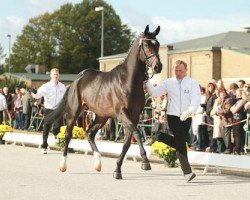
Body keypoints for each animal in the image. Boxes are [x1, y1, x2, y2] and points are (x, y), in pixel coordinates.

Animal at [46, 25, 162, 180]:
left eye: (158, 44)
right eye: (146, 45)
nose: (158, 67)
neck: (128, 81)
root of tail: (78, 78)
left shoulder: (135, 115)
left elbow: (127, 142)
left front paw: (117, 170)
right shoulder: (122, 113)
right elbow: (136, 134)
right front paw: (145, 162)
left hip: (102, 116)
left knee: (90, 133)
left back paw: (98, 163)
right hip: (74, 112)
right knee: (68, 134)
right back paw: (63, 165)